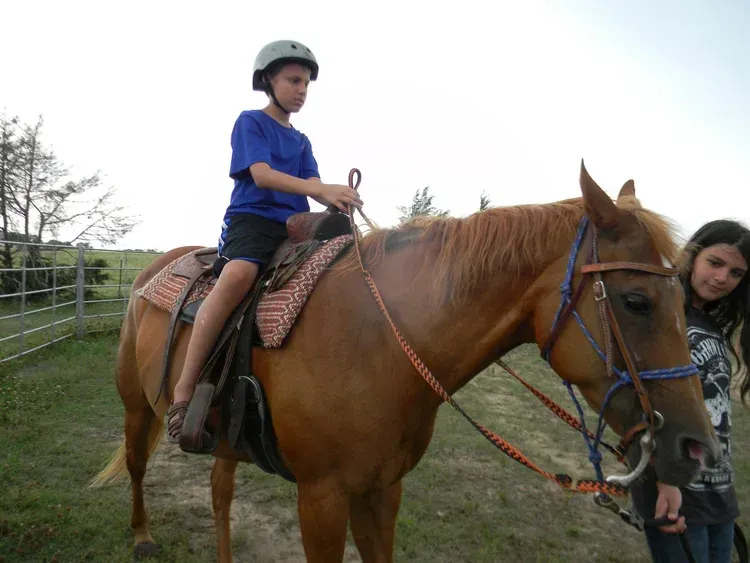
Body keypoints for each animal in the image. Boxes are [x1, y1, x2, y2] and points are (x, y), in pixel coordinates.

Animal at [92, 162, 720, 562]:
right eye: (636, 302)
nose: (698, 449)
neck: (382, 343)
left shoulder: (382, 490)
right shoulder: (320, 498)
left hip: (223, 438)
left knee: (220, 492)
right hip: (136, 409)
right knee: (139, 466)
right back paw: (142, 537)